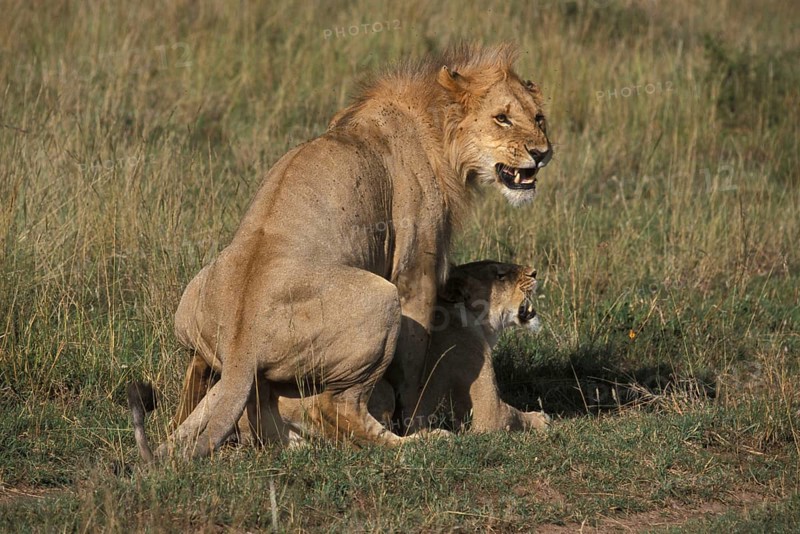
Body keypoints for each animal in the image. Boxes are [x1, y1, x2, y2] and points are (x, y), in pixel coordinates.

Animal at [129, 43, 553, 460]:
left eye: (539, 118)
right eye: (502, 118)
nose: (542, 152)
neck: (439, 130)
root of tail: (240, 346)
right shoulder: (416, 271)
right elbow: (415, 365)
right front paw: (417, 420)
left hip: (197, 302)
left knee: (197, 378)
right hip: (382, 298)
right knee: (337, 407)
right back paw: (420, 442)